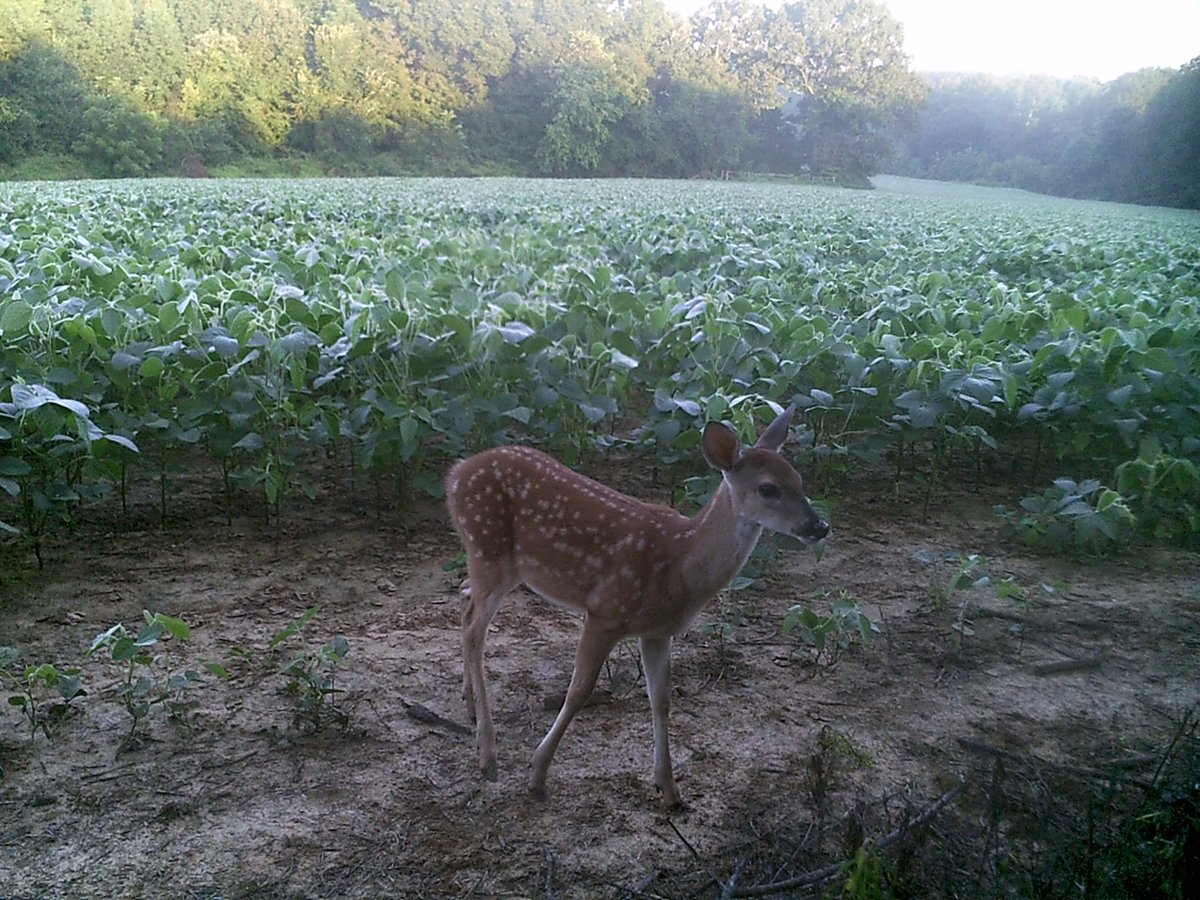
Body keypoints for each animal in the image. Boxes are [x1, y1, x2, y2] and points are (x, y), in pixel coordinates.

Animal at [444, 404, 829, 808]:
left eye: (799, 479)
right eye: (768, 488)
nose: (819, 526)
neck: (680, 563)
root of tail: (456, 473)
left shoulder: (658, 632)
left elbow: (661, 698)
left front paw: (670, 789)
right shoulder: (605, 611)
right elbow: (579, 691)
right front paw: (537, 775)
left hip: (495, 564)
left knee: (465, 600)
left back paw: (470, 706)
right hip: (489, 550)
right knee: (474, 631)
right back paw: (488, 755)